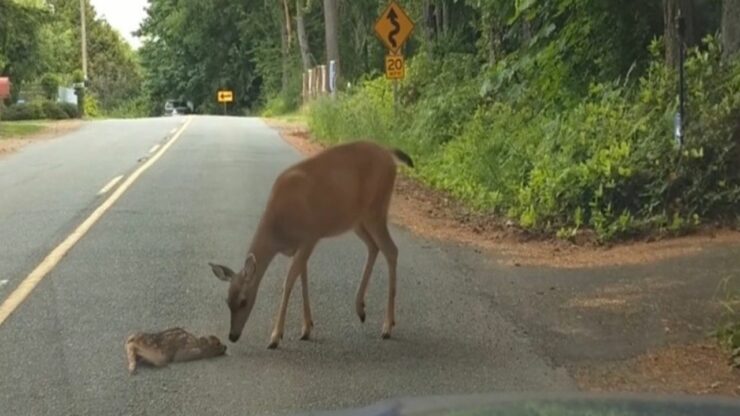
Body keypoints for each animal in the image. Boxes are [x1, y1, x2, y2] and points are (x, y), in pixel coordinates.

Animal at [208, 139, 414, 348]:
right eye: (226, 300)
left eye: (243, 301)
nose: (233, 336)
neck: (278, 230)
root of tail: (389, 153)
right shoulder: (299, 247)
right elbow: (303, 279)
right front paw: (306, 328)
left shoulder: (310, 237)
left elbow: (289, 281)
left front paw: (275, 336)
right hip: (357, 220)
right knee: (374, 246)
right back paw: (361, 309)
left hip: (376, 210)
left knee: (391, 250)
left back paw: (387, 326)